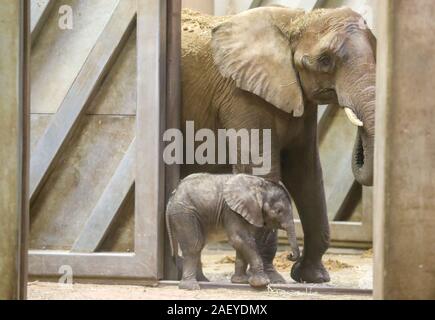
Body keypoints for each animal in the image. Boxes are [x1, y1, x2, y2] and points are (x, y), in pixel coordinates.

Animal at [167, 174, 300, 292]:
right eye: (278, 210)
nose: (290, 255)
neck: (259, 186)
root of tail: (173, 195)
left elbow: (244, 241)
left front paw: (241, 282)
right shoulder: (231, 210)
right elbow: (239, 238)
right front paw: (262, 283)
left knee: (198, 245)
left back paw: (203, 281)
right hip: (183, 213)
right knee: (194, 245)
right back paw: (191, 287)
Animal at [181, 6, 378, 282]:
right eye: (324, 60)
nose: (292, 258)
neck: (295, 21)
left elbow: (306, 174)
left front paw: (312, 277)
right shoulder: (241, 94)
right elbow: (263, 173)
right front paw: (271, 279)